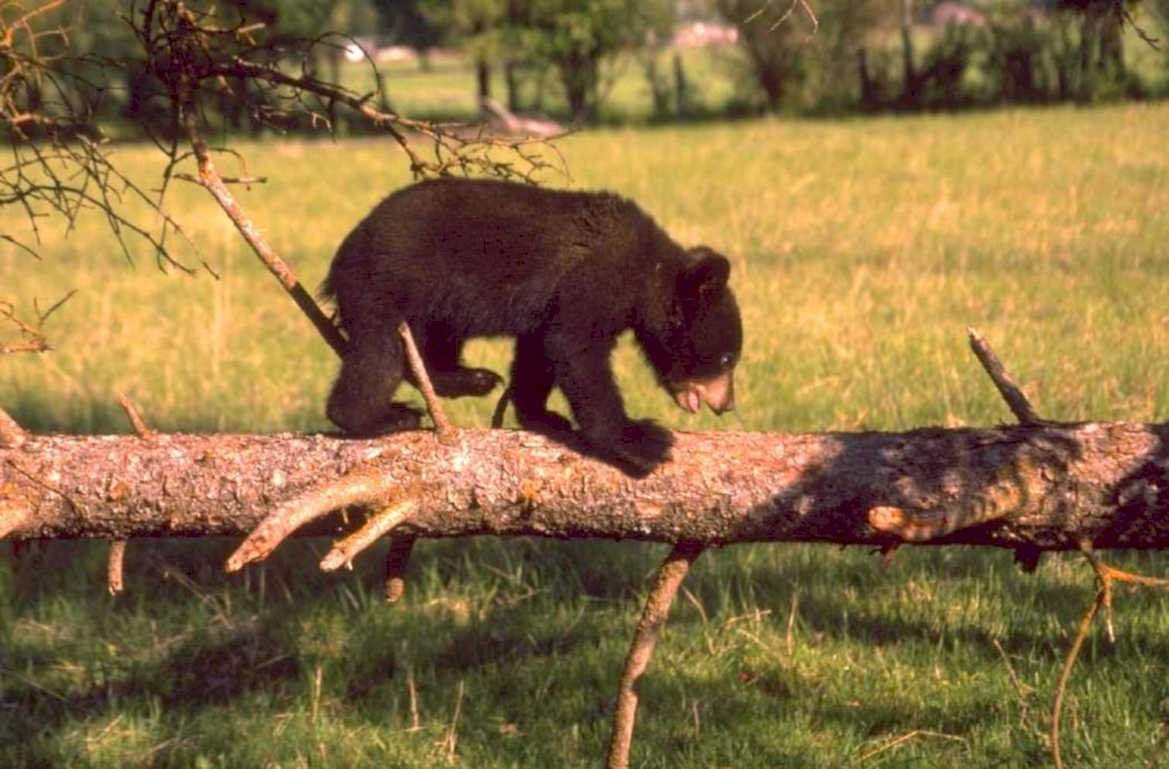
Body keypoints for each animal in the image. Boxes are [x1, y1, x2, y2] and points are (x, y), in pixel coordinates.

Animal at [321, 177, 742, 475]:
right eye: (726, 359)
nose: (727, 405)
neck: (647, 271)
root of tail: (342, 254)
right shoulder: (595, 280)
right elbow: (576, 349)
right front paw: (640, 440)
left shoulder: (549, 305)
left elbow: (538, 353)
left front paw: (543, 416)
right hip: (386, 286)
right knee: (379, 354)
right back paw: (383, 417)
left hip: (433, 307)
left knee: (426, 347)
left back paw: (471, 378)